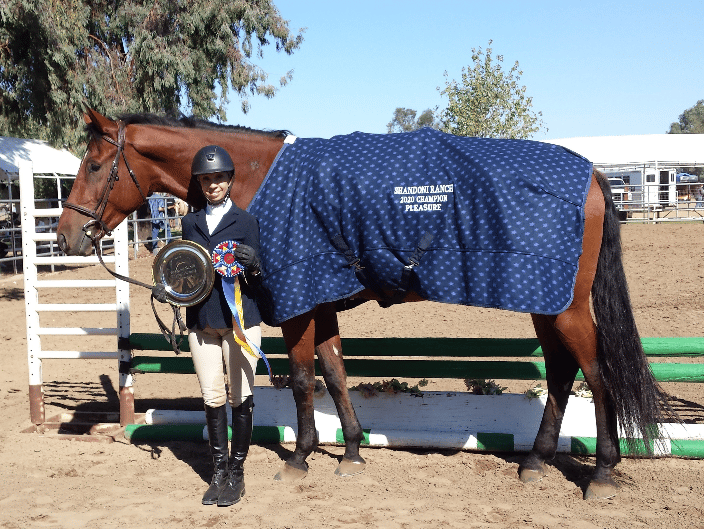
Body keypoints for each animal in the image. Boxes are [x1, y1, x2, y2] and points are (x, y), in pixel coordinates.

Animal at [57, 108, 675, 500]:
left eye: (93, 166)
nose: (66, 238)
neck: (255, 177)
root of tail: (592, 175)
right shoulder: (321, 301)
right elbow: (333, 371)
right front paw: (351, 450)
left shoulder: (299, 303)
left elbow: (302, 377)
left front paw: (301, 458)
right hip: (546, 304)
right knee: (564, 371)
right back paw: (536, 461)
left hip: (564, 306)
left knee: (596, 373)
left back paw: (603, 472)